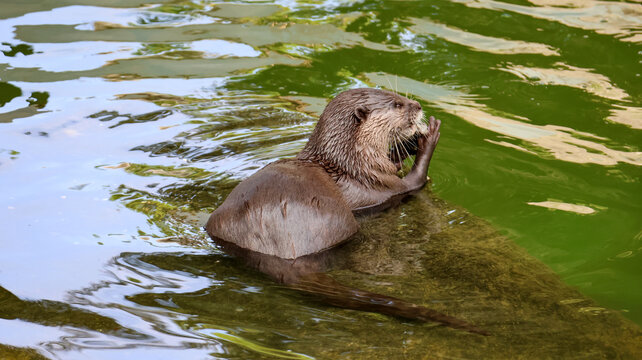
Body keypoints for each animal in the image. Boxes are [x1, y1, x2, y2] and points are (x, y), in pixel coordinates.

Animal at [202, 88, 482, 336]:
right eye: (397, 104)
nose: (419, 106)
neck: (351, 163)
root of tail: (279, 247)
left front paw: (406, 147)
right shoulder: (379, 186)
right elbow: (415, 182)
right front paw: (428, 137)